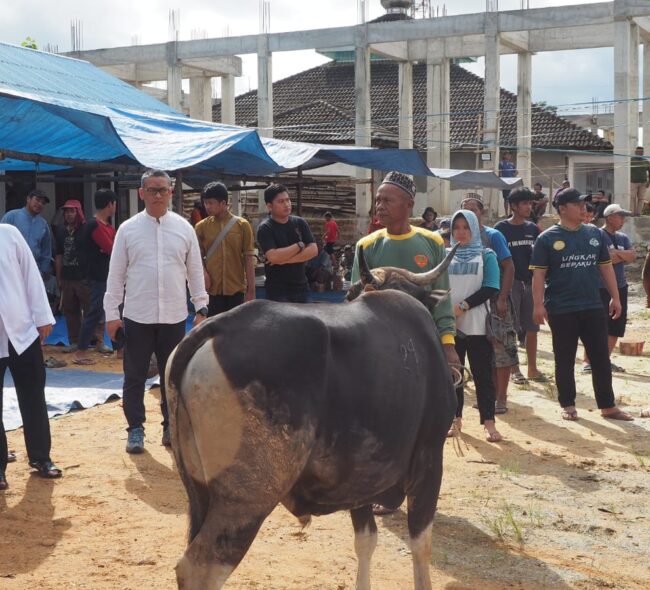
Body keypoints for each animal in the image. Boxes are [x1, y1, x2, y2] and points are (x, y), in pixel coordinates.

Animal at [167, 247, 456, 588]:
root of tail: (212, 329)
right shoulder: (430, 460)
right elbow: (421, 545)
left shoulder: (361, 479)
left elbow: (366, 541)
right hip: (246, 501)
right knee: (199, 568)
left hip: (199, 493)